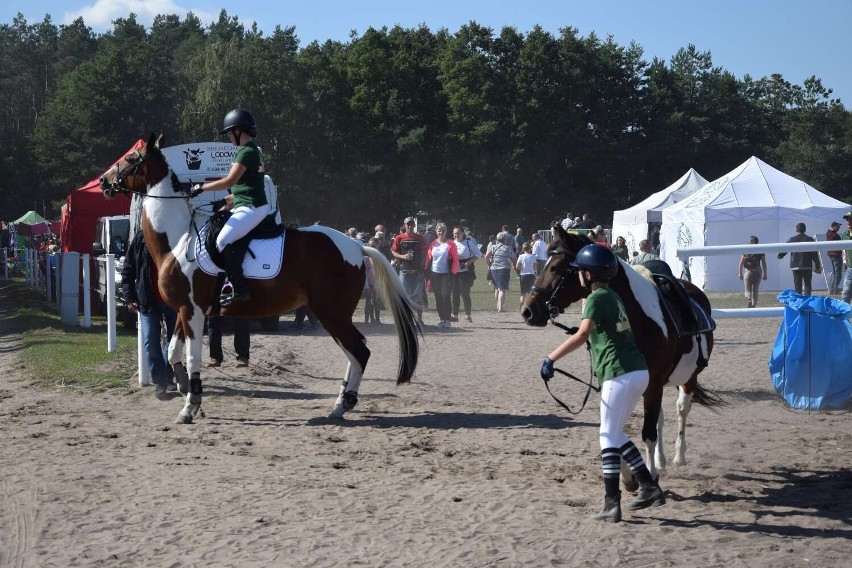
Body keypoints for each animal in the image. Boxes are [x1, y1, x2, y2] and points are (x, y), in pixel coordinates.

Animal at [100, 133, 420, 424]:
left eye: (131, 158)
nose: (104, 181)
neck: (179, 240)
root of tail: (355, 245)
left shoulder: (193, 311)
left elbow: (191, 357)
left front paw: (190, 407)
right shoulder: (183, 310)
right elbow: (172, 352)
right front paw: (185, 390)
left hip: (331, 313)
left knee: (359, 352)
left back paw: (342, 406)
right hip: (334, 314)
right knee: (355, 353)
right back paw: (343, 403)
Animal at [524, 226, 724, 488]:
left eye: (556, 267)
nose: (528, 310)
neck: (636, 318)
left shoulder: (653, 384)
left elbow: (647, 433)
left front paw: (649, 477)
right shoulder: (622, 381)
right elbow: (616, 426)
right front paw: (630, 474)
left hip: (688, 377)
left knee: (681, 409)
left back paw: (678, 456)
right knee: (660, 417)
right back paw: (660, 460)